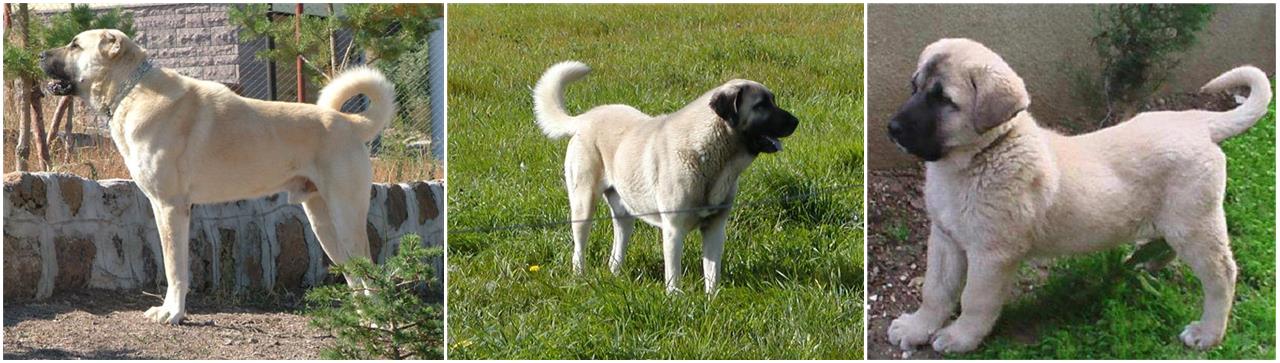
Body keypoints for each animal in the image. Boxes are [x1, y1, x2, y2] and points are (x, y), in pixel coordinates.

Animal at [40, 28, 394, 323]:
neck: (131, 90)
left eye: (75, 45)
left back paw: (378, 322)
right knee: (355, 275)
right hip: (323, 223)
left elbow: (174, 267)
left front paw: (172, 314)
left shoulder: (171, 207)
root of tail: (350, 123)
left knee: (370, 272)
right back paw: (362, 320)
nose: (41, 54)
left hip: (345, 218)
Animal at [527, 61, 788, 293]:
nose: (794, 121)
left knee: (617, 245)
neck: (711, 154)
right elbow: (674, 273)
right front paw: (675, 299)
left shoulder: (715, 228)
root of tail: (586, 117)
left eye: (772, 101)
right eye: (761, 105)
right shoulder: (673, 230)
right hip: (583, 204)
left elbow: (712, 272)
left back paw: (615, 275)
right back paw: (580, 277)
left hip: (625, 211)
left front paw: (711, 299)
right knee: (579, 249)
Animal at [885, 38, 1264, 352]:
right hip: (1177, 221)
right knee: (1170, 245)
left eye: (944, 100)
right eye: (915, 87)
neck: (983, 156)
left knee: (1222, 274)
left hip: (1194, 223)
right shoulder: (946, 239)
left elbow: (975, 299)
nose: (892, 129)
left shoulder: (992, 254)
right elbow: (935, 290)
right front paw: (918, 328)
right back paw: (1149, 262)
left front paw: (959, 337)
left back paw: (1208, 332)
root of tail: (1197, 123)